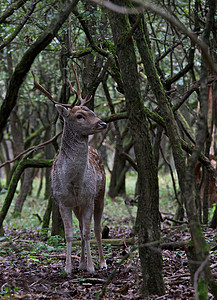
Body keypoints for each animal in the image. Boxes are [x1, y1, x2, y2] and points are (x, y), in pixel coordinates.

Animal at [32, 67, 107, 274]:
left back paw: (102, 262)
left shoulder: (88, 198)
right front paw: (68, 268)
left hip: (101, 193)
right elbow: (70, 234)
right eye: (79, 115)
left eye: (92, 111)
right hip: (77, 205)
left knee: (97, 228)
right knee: (81, 227)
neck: (73, 181)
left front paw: (91, 267)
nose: (103, 123)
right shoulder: (62, 201)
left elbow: (88, 233)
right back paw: (80, 262)